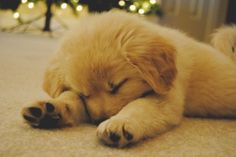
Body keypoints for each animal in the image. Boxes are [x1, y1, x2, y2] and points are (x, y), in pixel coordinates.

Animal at [21, 11, 236, 147]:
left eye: (117, 86)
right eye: (84, 93)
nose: (98, 119)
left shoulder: (167, 97)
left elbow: (140, 106)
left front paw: (120, 122)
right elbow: (70, 97)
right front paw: (50, 110)